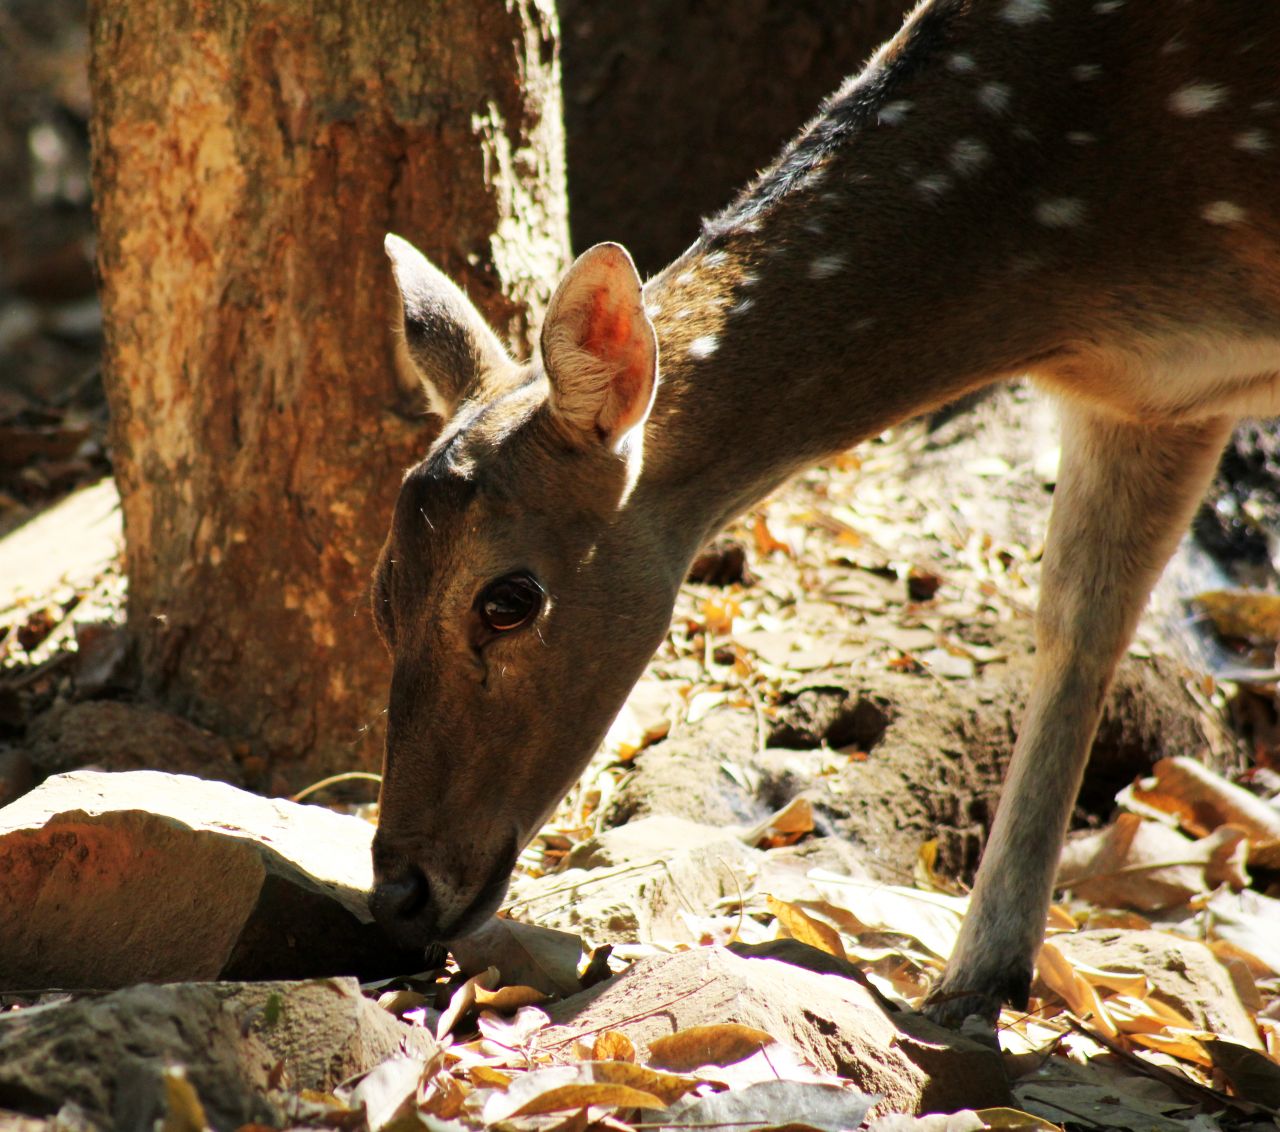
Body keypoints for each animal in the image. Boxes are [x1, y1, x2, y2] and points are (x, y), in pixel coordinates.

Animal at [363, 0, 1280, 1024]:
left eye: (508, 599)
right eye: (380, 596)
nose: (398, 893)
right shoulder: (1152, 397)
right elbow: (1079, 626)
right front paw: (975, 982)